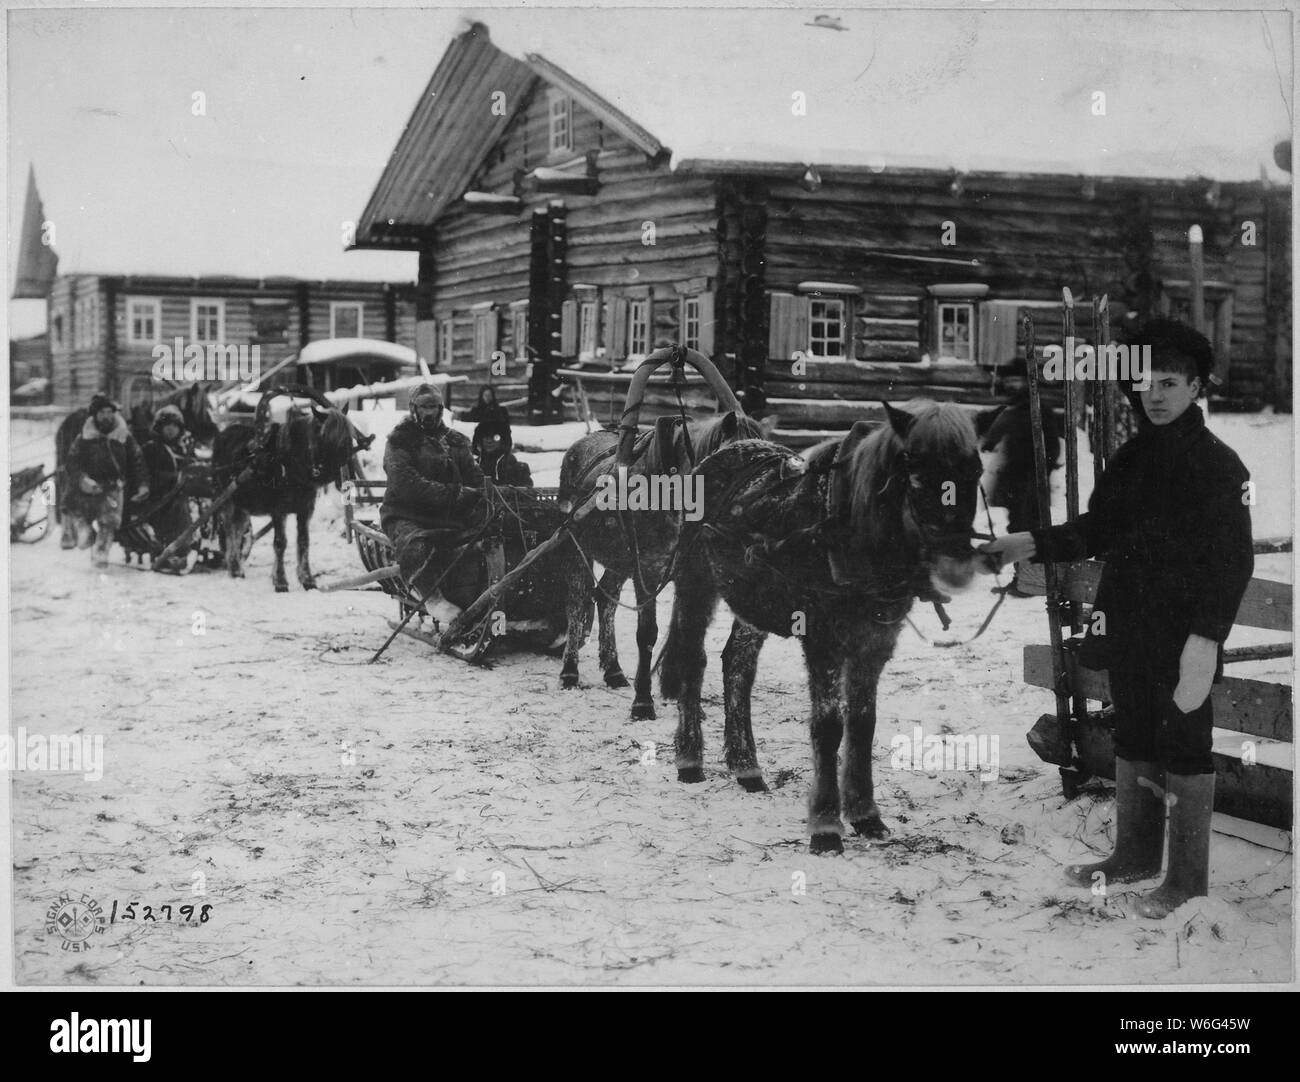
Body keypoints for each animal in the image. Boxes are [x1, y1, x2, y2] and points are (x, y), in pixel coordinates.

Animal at [211, 390, 366, 593]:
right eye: (329, 440)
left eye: (350, 439)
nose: (347, 481)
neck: (290, 463)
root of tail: (223, 433)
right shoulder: (279, 510)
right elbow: (280, 543)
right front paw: (280, 581)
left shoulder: (305, 510)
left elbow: (303, 541)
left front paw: (307, 579)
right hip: (228, 501)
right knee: (230, 531)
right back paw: (235, 568)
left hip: (241, 504)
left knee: (237, 530)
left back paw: (235, 566)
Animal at [553, 410, 764, 723]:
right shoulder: (648, 573)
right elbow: (647, 635)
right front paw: (642, 702)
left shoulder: (690, 577)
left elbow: (688, 638)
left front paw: (689, 704)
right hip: (576, 548)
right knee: (577, 604)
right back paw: (569, 672)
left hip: (620, 559)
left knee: (605, 599)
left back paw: (613, 670)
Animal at [660, 400, 993, 853]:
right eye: (914, 468)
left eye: (975, 468)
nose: (956, 565)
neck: (851, 536)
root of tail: (725, 448)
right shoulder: (823, 642)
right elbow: (829, 726)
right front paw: (825, 825)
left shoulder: (875, 643)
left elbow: (863, 724)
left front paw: (865, 814)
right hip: (695, 583)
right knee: (693, 661)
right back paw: (690, 758)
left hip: (752, 603)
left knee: (738, 666)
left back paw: (746, 766)